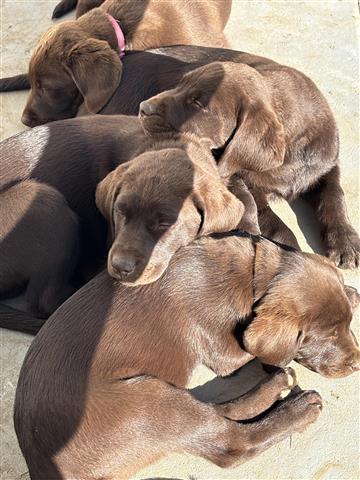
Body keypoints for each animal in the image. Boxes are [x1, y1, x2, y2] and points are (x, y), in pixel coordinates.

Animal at [11, 231, 360, 478]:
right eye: (326, 336)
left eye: (347, 325)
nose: (357, 364)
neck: (251, 276)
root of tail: (40, 465)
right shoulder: (222, 351)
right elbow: (260, 354)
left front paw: (350, 292)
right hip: (144, 403)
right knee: (229, 443)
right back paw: (298, 408)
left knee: (217, 413)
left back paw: (277, 387)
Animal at [139, 60, 360, 270]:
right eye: (180, 84)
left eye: (197, 103)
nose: (143, 108)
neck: (289, 153)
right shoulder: (237, 174)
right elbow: (264, 212)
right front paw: (290, 249)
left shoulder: (326, 164)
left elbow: (334, 194)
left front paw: (345, 242)